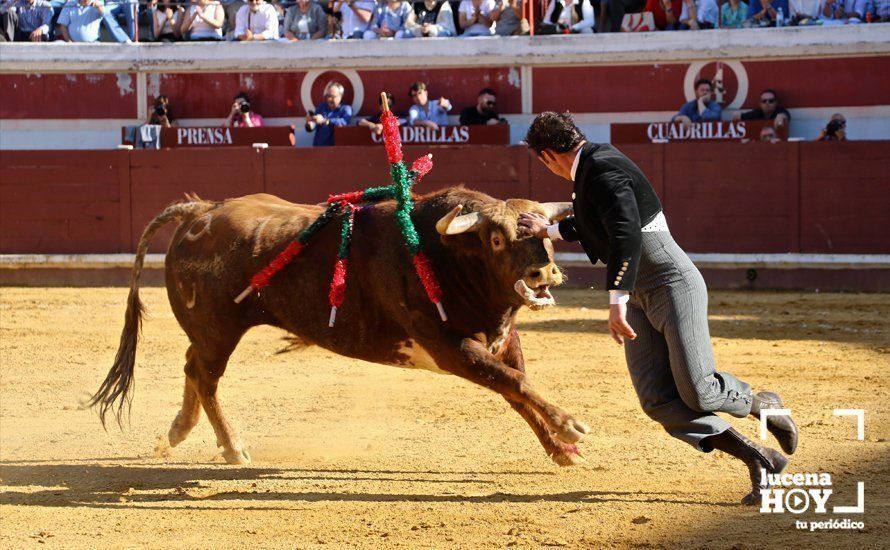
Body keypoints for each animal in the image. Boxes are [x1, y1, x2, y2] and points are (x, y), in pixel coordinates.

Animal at [92, 189, 588, 466]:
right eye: (498, 238)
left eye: (545, 235)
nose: (543, 273)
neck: (447, 254)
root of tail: (201, 210)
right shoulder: (452, 348)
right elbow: (517, 384)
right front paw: (569, 428)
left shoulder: (500, 340)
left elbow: (517, 387)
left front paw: (560, 450)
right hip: (219, 331)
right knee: (205, 375)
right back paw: (232, 447)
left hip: (208, 332)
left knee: (191, 366)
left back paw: (179, 430)